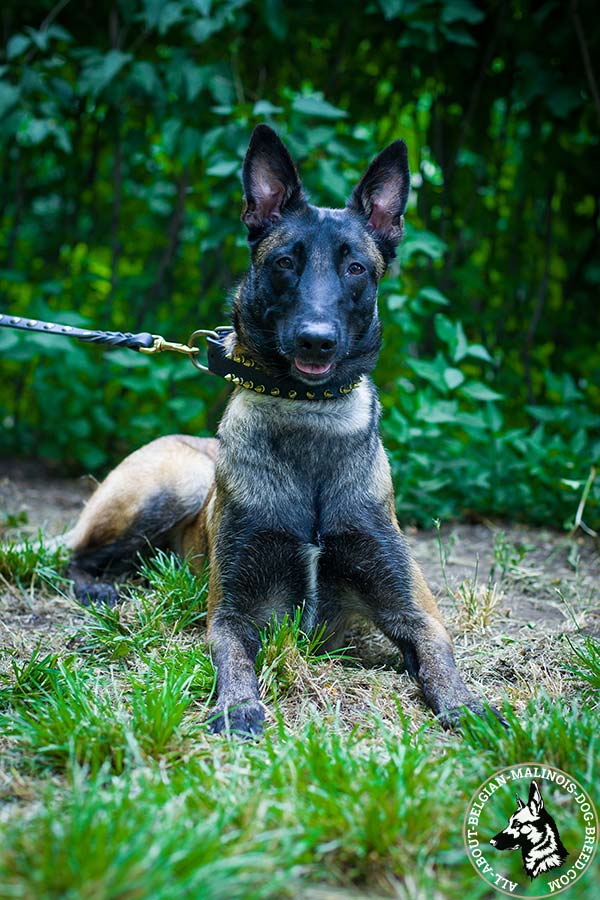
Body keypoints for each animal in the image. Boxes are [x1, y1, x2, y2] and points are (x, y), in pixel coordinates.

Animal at [56, 121, 506, 740]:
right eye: (286, 262)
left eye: (355, 268)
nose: (316, 340)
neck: (307, 414)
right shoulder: (233, 611)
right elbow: (233, 655)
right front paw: (236, 704)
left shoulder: (413, 610)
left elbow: (440, 656)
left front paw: (466, 705)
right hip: (168, 486)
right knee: (76, 554)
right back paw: (98, 585)